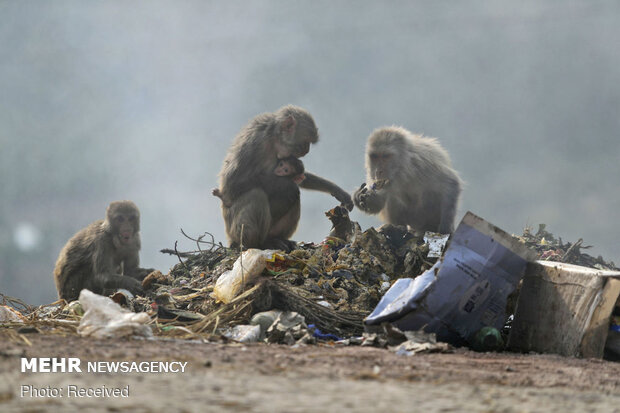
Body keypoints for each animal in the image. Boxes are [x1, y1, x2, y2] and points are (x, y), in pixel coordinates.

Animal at [218, 104, 354, 249]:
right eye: (305, 142)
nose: (307, 149)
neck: (273, 138)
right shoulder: (254, 142)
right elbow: (231, 185)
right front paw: (287, 185)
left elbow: (300, 176)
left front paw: (337, 190)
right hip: (234, 229)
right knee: (257, 194)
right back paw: (258, 243)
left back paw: (277, 238)